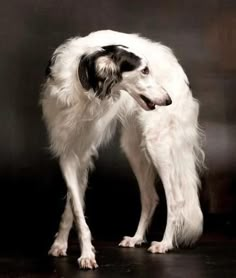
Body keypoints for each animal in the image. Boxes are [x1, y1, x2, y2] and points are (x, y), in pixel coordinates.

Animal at [40, 29, 205, 270]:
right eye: (144, 70)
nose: (168, 100)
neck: (84, 85)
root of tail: (179, 70)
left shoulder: (84, 153)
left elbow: (76, 205)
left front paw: (85, 254)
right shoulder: (68, 152)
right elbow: (75, 206)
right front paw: (64, 246)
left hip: (157, 144)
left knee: (176, 199)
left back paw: (165, 243)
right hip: (133, 148)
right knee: (150, 197)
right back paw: (136, 238)